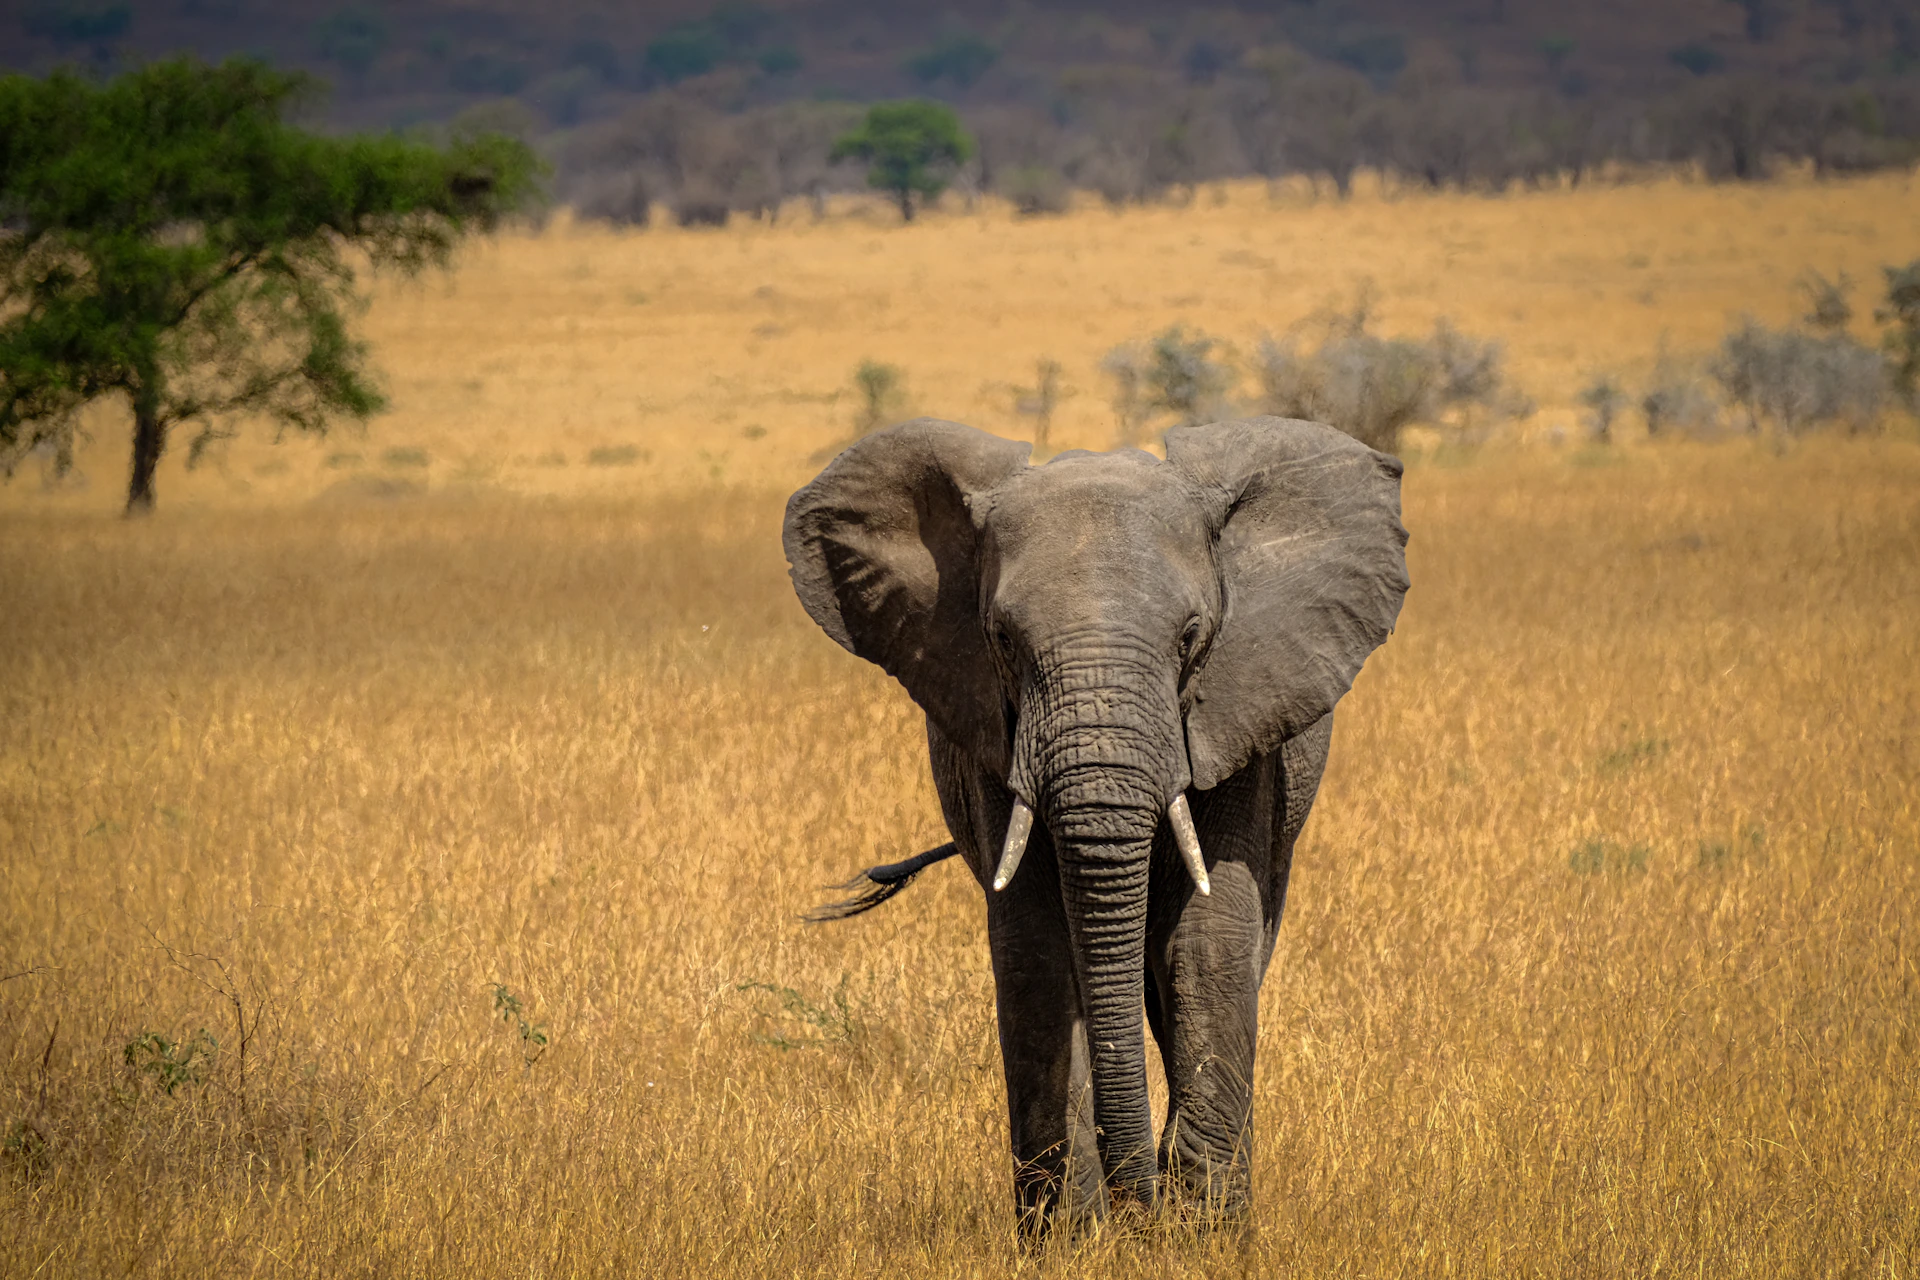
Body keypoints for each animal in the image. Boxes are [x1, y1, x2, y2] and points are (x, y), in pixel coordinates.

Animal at [783, 415, 1409, 1230]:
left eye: (1191, 637)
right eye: (1003, 640)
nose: (1139, 1205)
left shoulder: (1236, 715)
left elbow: (1207, 939)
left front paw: (1203, 1233)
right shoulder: (992, 732)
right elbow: (1034, 944)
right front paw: (1073, 1237)